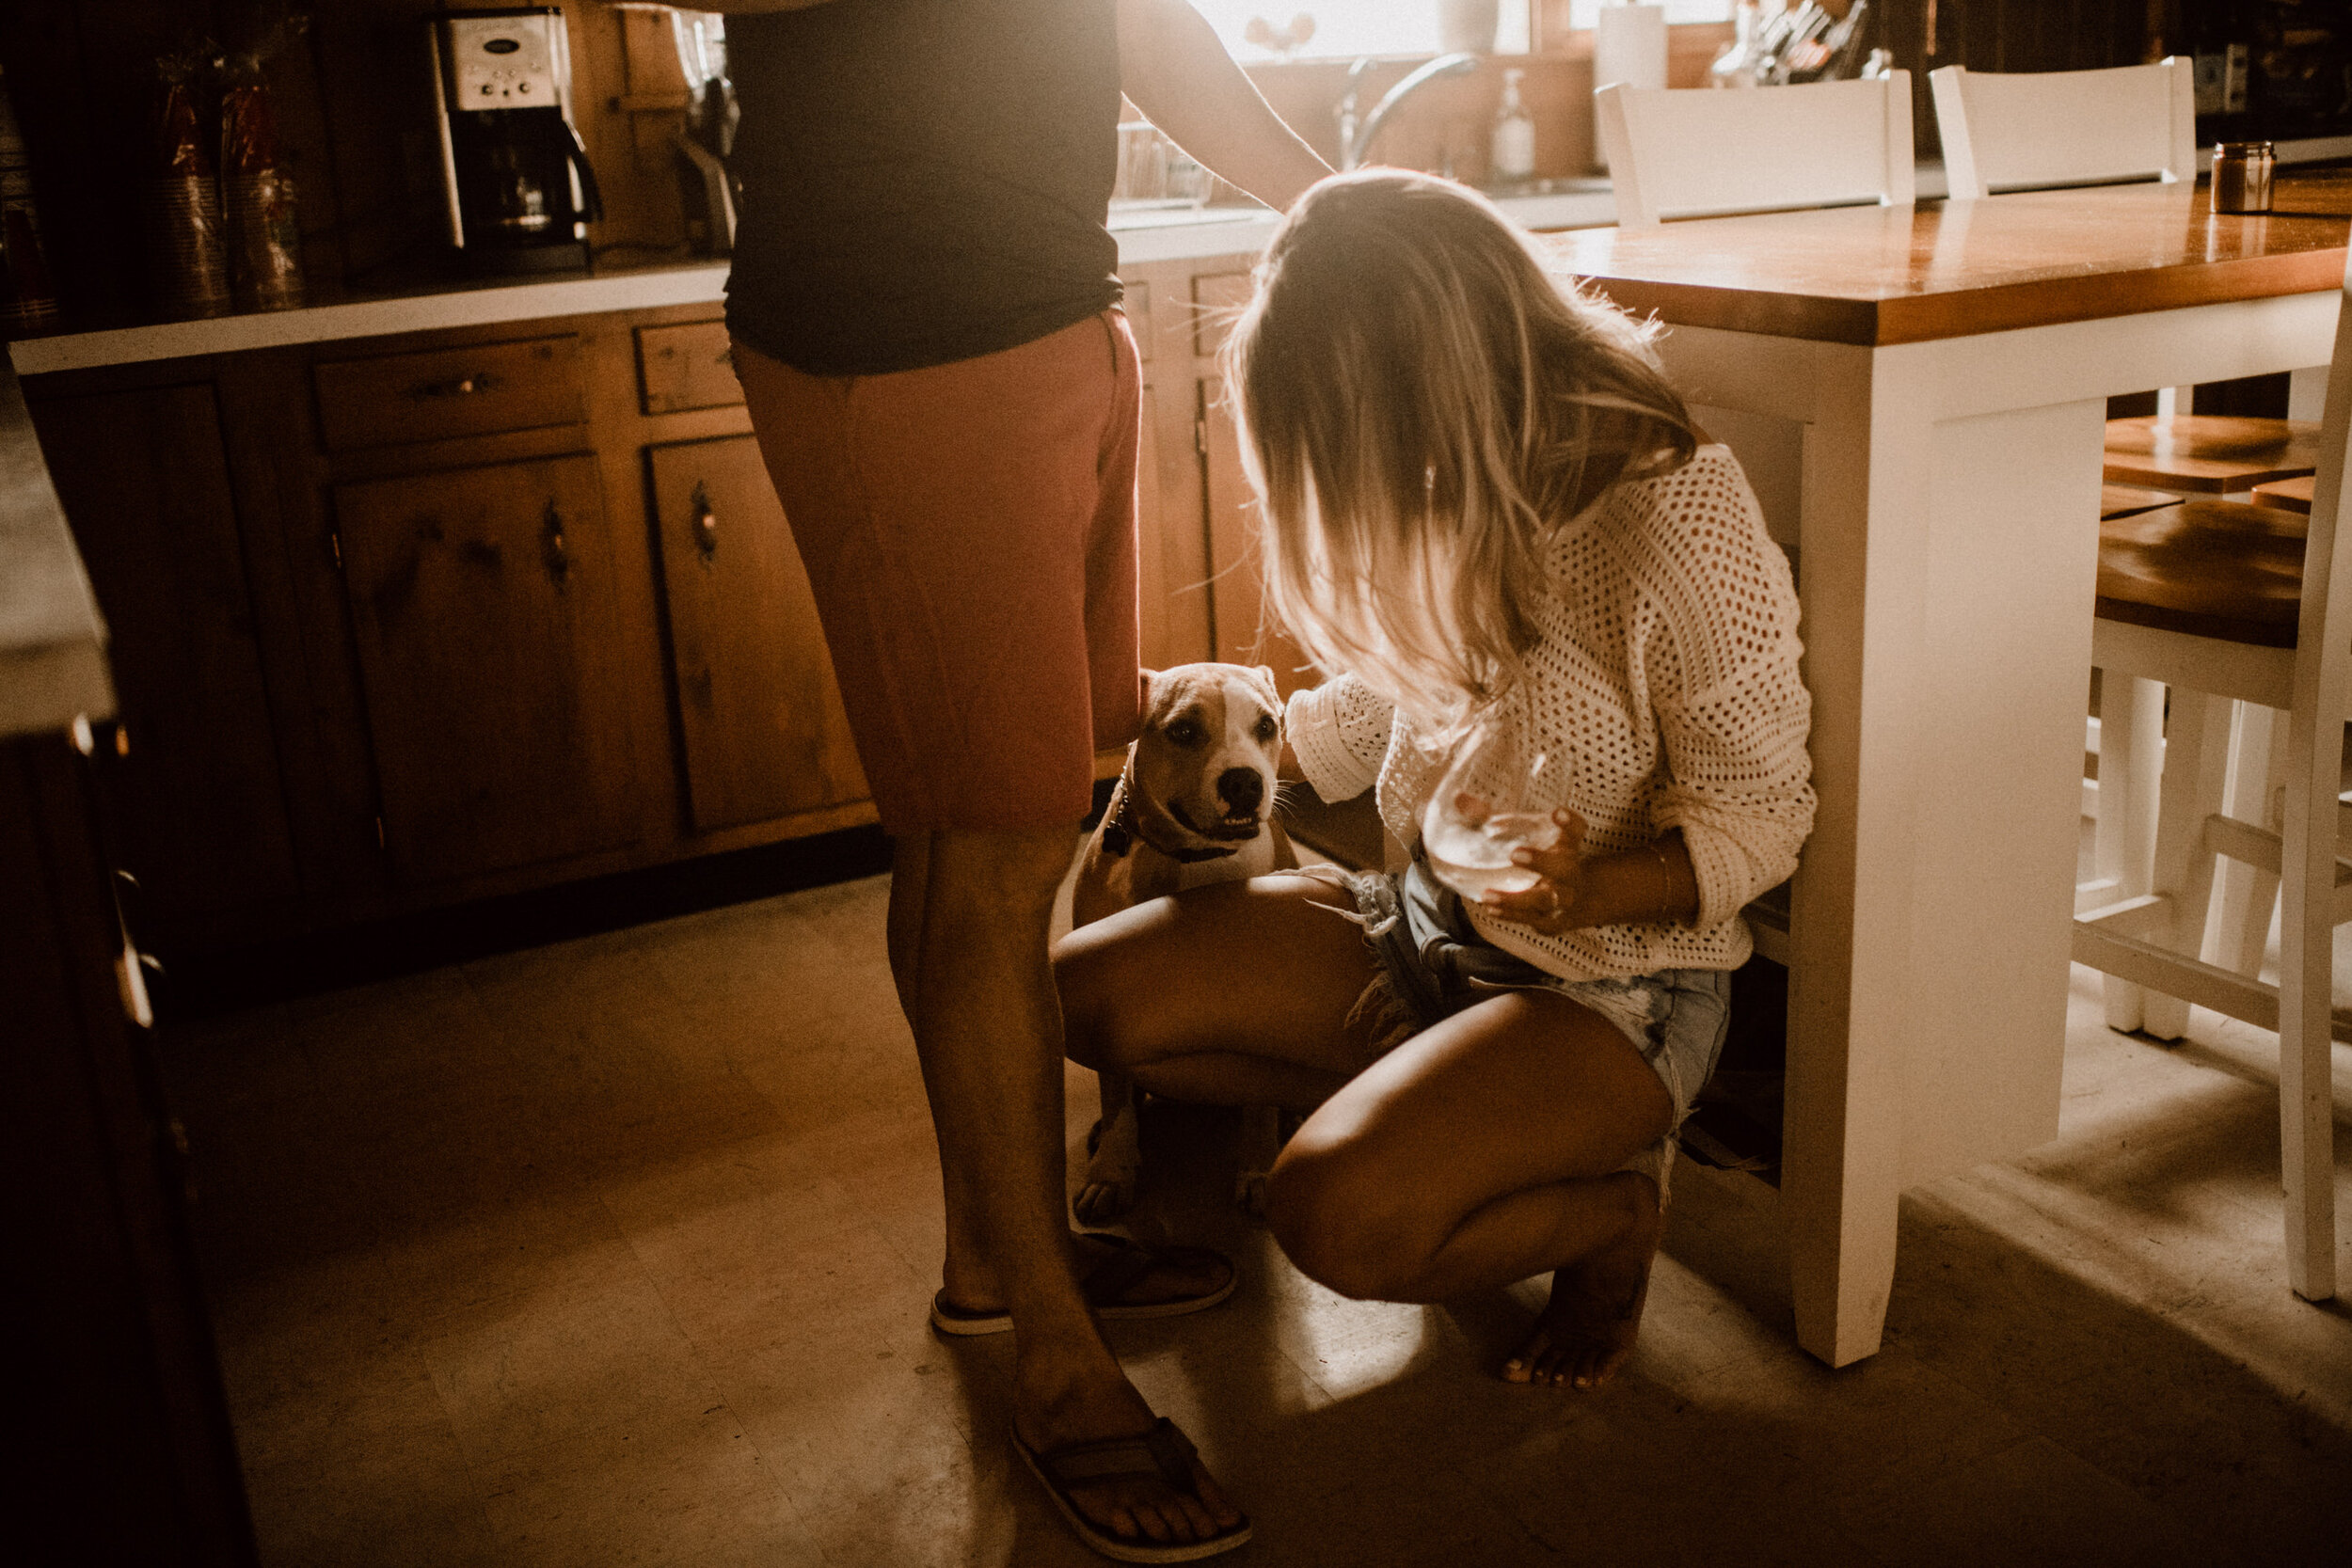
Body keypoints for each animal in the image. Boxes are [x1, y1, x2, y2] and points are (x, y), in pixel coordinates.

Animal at [1073, 662, 1298, 1222]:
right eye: (1183, 731)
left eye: (1267, 725)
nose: (1244, 781)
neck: (1193, 860)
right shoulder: (1106, 994)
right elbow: (1116, 1095)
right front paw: (1112, 1169)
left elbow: (1260, 1100)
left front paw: (1258, 1169)